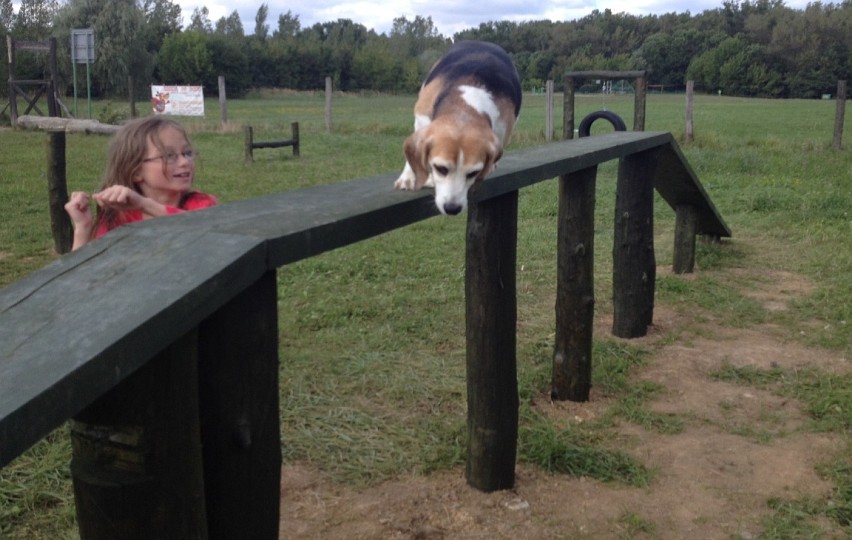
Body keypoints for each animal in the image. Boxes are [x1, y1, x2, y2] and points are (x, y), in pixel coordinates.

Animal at [394, 40, 524, 215]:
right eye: (441, 169)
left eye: (473, 173)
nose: (452, 208)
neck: (465, 105)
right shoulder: (421, 119)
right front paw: (409, 177)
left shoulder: (501, 132)